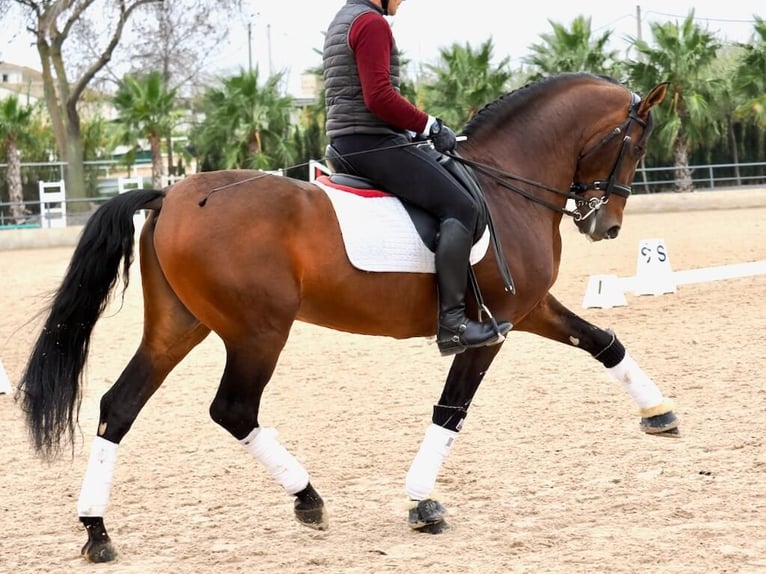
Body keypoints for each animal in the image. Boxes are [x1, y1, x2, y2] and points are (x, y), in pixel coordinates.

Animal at [16, 71, 680, 564]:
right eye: (637, 144)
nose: (606, 225)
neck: (505, 186)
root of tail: (171, 193)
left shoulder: (530, 307)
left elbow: (604, 341)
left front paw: (660, 414)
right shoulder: (492, 328)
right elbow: (451, 410)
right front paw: (421, 503)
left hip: (178, 327)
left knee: (119, 406)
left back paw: (98, 530)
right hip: (258, 332)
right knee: (233, 410)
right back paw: (307, 498)